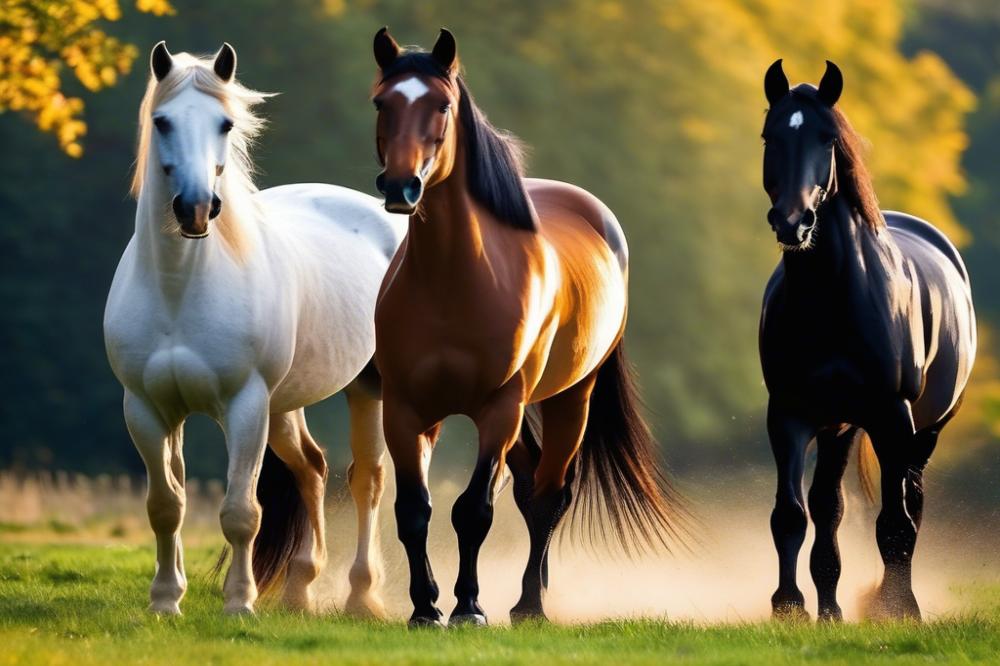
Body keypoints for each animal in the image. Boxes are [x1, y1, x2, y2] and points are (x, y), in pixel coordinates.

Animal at [103, 42, 404, 616]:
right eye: (162, 121)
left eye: (225, 123)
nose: (197, 208)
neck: (179, 288)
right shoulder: (148, 409)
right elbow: (166, 504)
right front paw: (166, 599)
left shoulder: (245, 405)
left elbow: (241, 511)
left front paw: (238, 603)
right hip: (285, 405)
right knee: (312, 469)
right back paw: (298, 589)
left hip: (367, 388)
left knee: (368, 480)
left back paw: (361, 595)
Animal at [368, 27, 685, 627]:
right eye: (381, 102)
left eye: (441, 105)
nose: (401, 186)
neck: (454, 281)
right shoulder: (405, 410)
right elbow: (413, 510)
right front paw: (425, 607)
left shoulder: (499, 408)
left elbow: (473, 510)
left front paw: (469, 608)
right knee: (530, 487)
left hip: (568, 399)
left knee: (548, 495)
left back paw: (530, 603)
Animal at [758, 60, 976, 621]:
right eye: (770, 135)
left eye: (828, 138)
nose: (793, 222)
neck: (833, 298)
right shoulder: (789, 414)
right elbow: (791, 514)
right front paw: (789, 607)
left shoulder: (892, 416)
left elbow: (896, 523)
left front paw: (899, 610)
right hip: (839, 426)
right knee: (828, 506)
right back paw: (830, 607)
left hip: (921, 431)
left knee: (909, 504)